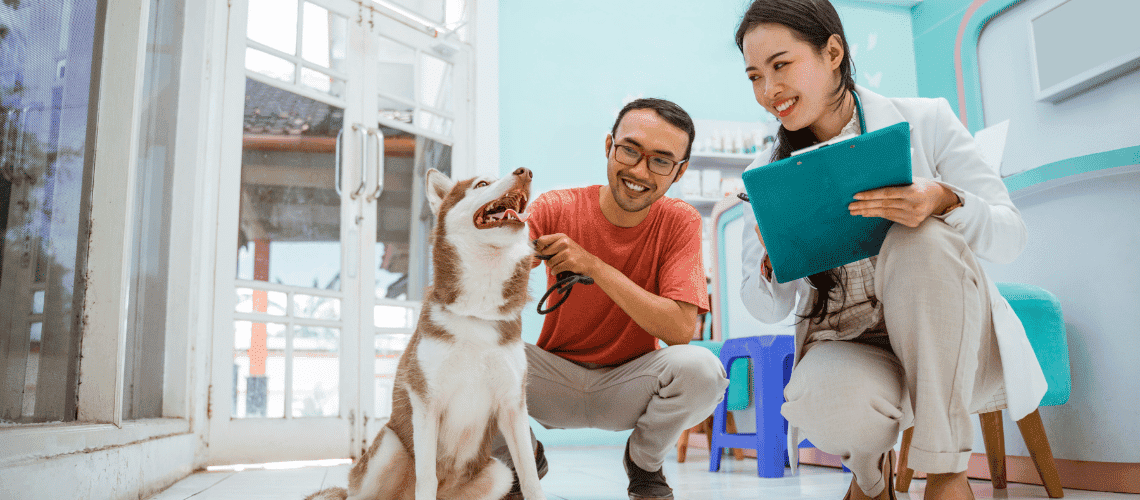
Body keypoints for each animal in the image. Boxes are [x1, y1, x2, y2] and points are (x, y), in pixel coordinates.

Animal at [305, 169, 544, 500]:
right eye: (482, 184)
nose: (525, 172)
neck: (478, 312)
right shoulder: (427, 402)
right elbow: (427, 477)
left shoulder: (512, 405)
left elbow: (531, 478)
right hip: (389, 445)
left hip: (499, 474)